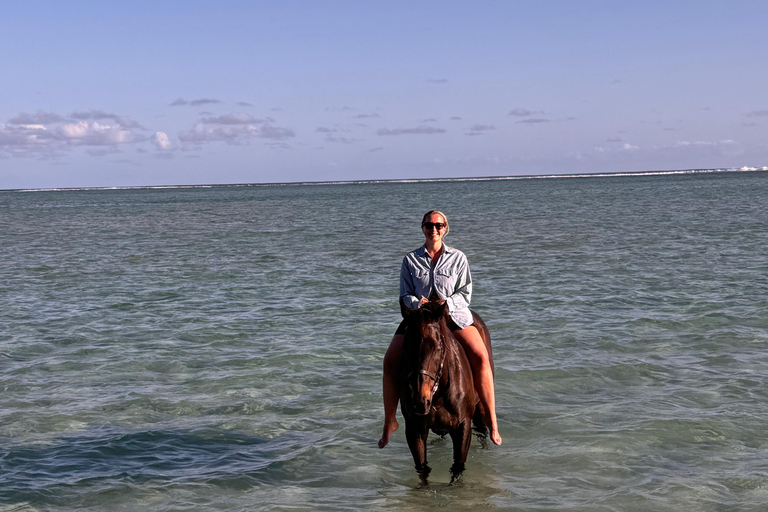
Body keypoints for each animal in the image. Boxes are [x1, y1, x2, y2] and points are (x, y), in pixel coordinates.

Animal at [400, 298, 496, 482]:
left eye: (437, 347)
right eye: (406, 347)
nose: (420, 401)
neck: (438, 395)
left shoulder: (462, 427)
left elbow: (457, 468)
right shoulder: (415, 429)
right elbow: (422, 469)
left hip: (480, 408)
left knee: (482, 429)